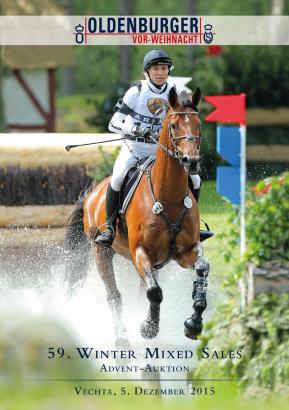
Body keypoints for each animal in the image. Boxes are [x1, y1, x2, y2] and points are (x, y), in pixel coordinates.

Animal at [64, 86, 209, 346]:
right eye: (174, 126)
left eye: (198, 125)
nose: (191, 162)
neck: (168, 197)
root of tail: (91, 194)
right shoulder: (141, 252)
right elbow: (155, 292)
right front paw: (148, 328)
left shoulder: (186, 252)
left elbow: (202, 269)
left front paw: (194, 324)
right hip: (101, 251)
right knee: (114, 295)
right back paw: (122, 338)